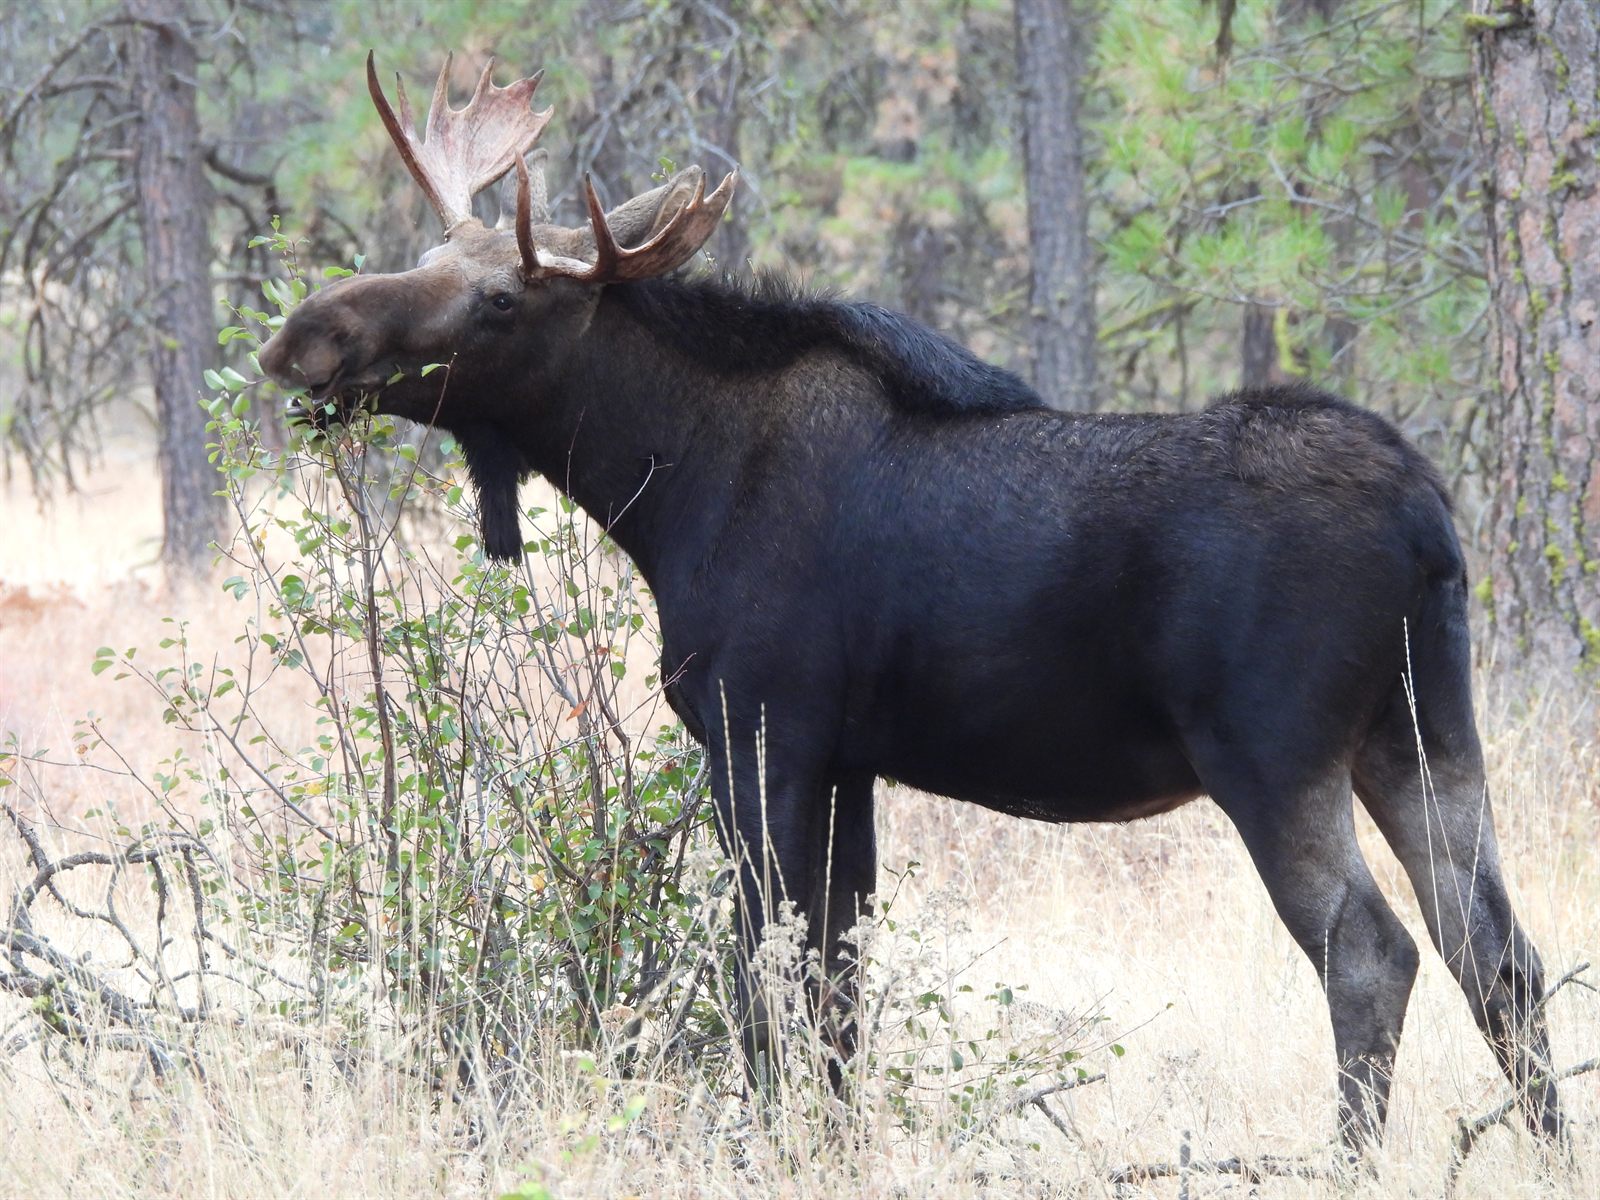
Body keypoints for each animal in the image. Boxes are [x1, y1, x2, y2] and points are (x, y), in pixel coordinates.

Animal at [259, 54, 1564, 1151]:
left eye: (497, 303)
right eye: (433, 256)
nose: (302, 334)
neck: (663, 487)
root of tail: (1427, 519)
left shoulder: (761, 731)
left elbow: (764, 978)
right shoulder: (848, 762)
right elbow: (839, 987)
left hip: (1272, 752)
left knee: (1372, 953)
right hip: (1422, 732)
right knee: (1499, 953)